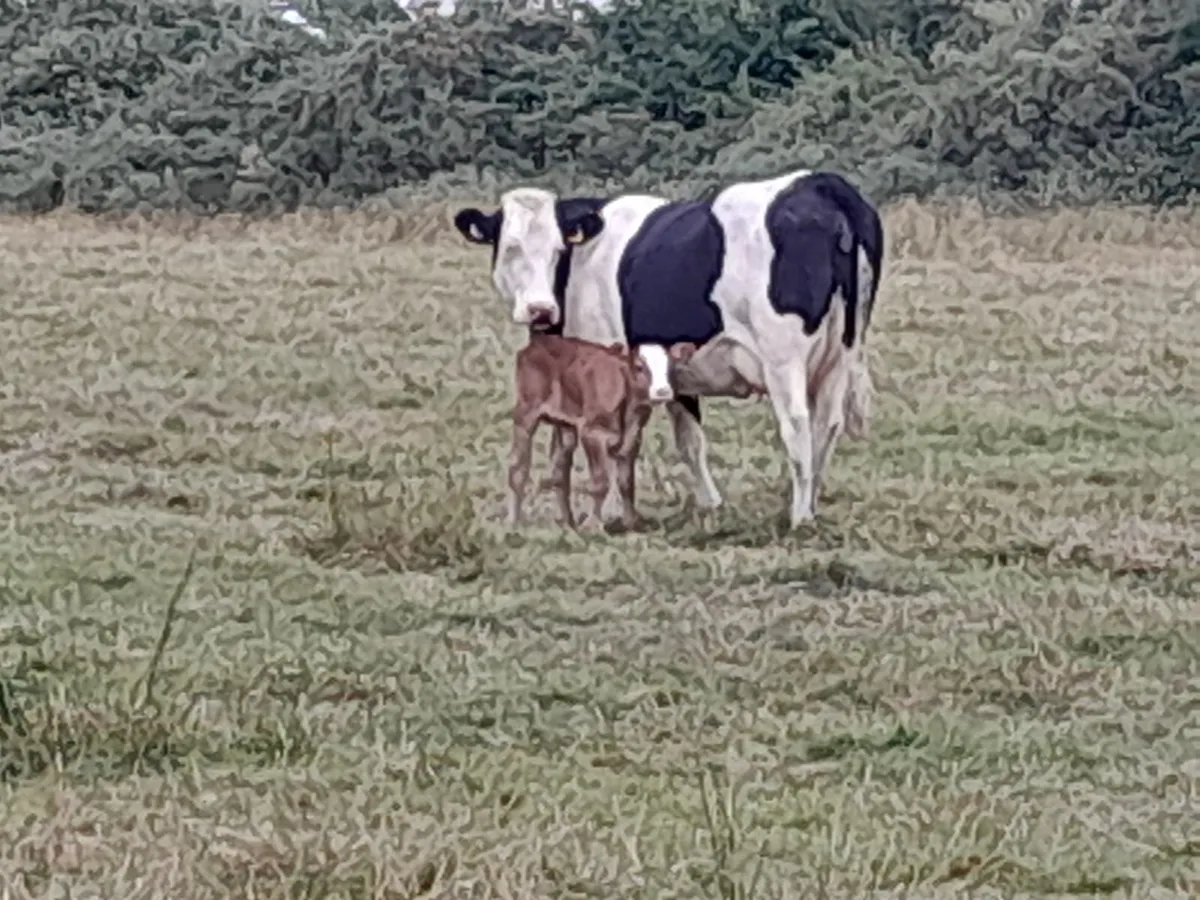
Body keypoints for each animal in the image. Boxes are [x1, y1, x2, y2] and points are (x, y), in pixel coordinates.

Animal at [453, 169, 884, 528]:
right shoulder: (674, 371)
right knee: (827, 425)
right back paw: (810, 506)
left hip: (784, 358)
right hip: (840, 356)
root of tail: (820, 184)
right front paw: (710, 505)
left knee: (797, 425)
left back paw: (799, 517)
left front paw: (609, 513)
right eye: (510, 247)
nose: (540, 308)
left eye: (558, 250)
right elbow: (689, 440)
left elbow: (610, 444)